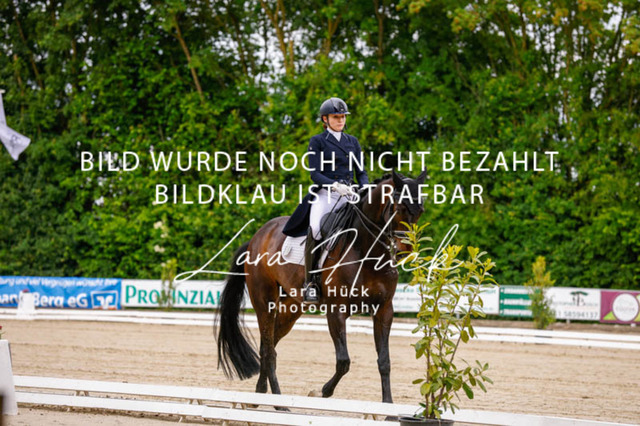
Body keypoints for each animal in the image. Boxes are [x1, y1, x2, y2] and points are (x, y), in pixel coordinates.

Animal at [216, 170, 427, 403]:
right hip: (265, 303)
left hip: (291, 307)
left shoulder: (384, 309)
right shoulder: (336, 310)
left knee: (269, 345)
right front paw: (321, 391)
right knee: (268, 349)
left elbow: (384, 361)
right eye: (398, 208)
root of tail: (257, 237)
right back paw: (277, 400)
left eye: (421, 211)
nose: (404, 252)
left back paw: (260, 394)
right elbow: (343, 362)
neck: (366, 251)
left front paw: (388, 406)